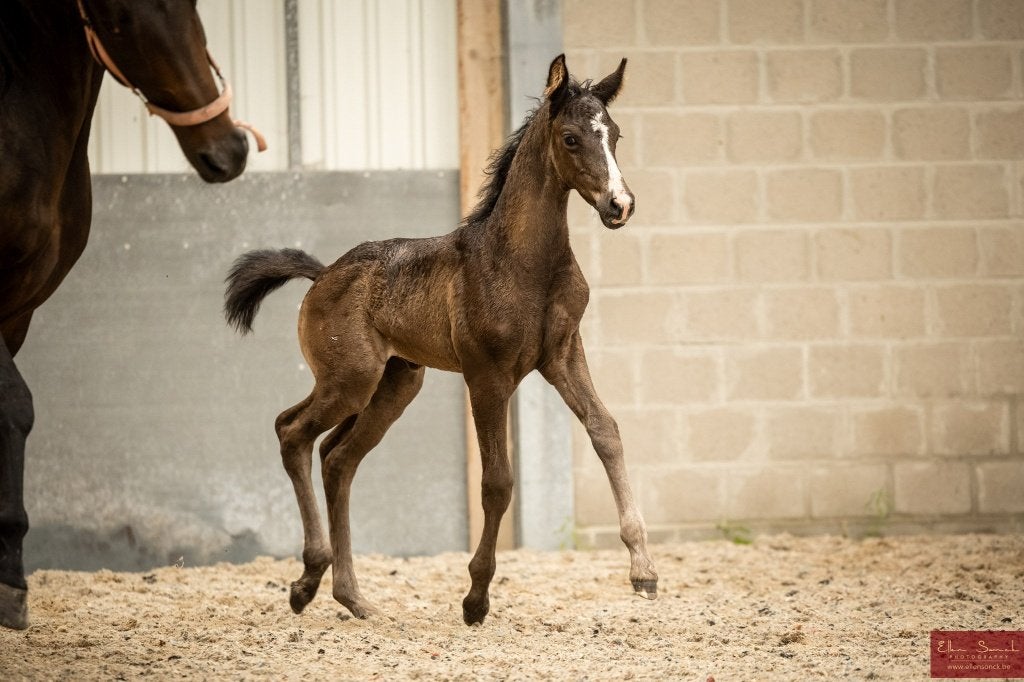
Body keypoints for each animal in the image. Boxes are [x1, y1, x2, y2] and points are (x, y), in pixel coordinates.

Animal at [0, 0, 260, 630]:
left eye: (194, 6)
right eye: (118, 16)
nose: (229, 151)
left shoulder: (18, 312)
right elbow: (15, 406)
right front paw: (9, 582)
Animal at [223, 54, 659, 626]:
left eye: (616, 134)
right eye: (570, 138)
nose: (619, 205)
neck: (523, 262)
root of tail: (321, 274)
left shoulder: (563, 354)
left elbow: (606, 431)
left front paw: (644, 571)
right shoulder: (487, 375)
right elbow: (497, 482)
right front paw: (476, 598)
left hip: (395, 385)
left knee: (337, 459)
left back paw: (352, 597)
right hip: (349, 380)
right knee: (292, 431)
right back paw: (307, 580)